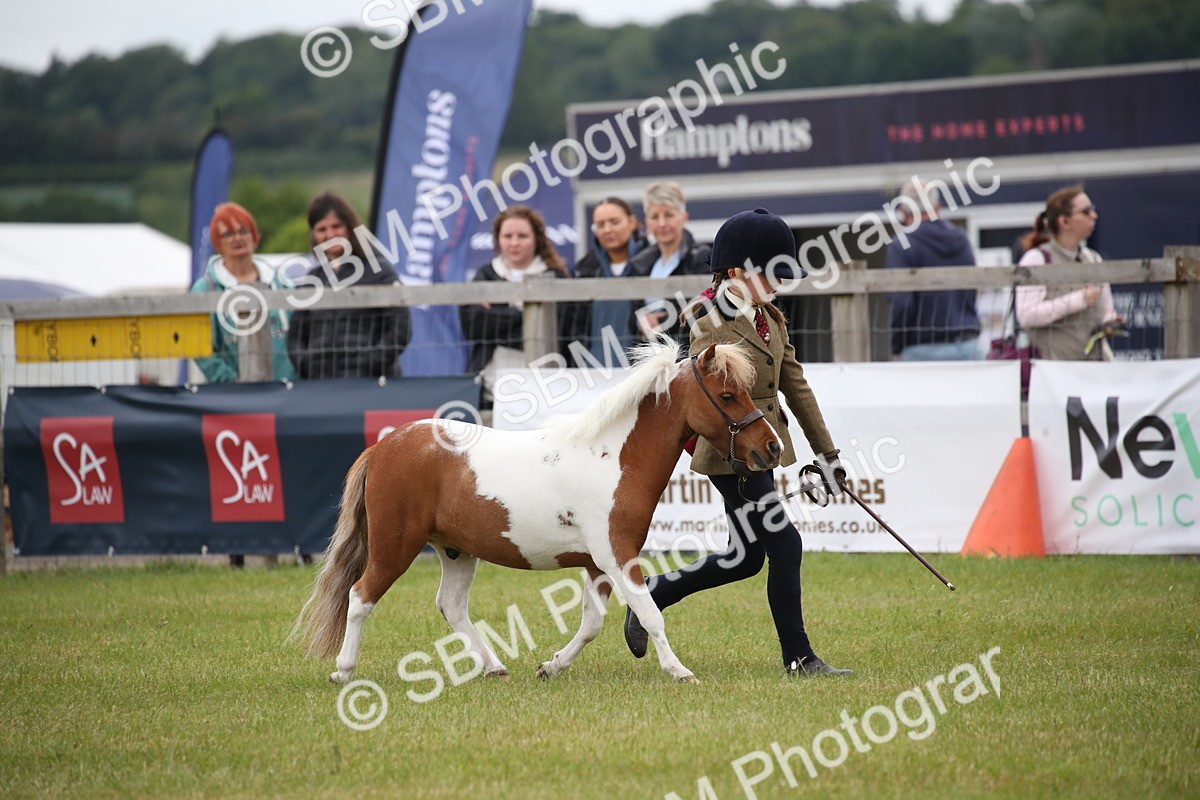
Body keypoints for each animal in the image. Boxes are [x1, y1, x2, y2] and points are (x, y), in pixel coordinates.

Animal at [292, 338, 783, 684]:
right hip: (396, 546)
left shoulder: (598, 564)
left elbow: (591, 624)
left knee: (450, 606)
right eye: (727, 395)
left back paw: (493, 667)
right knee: (360, 596)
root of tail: (383, 447)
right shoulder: (617, 555)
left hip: (456, 551)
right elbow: (650, 614)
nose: (772, 448)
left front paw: (552, 666)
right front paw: (679, 671)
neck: (613, 456)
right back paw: (343, 671)